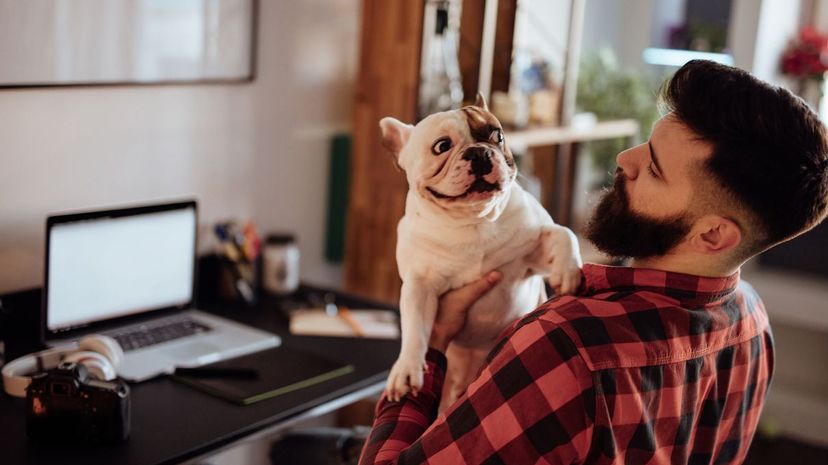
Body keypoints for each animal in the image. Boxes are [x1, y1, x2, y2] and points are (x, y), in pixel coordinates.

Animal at [382, 93, 584, 410]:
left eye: (497, 136)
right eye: (442, 146)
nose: (479, 153)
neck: (472, 220)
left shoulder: (534, 253)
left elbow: (565, 233)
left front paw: (568, 271)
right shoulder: (419, 286)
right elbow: (414, 326)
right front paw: (406, 369)